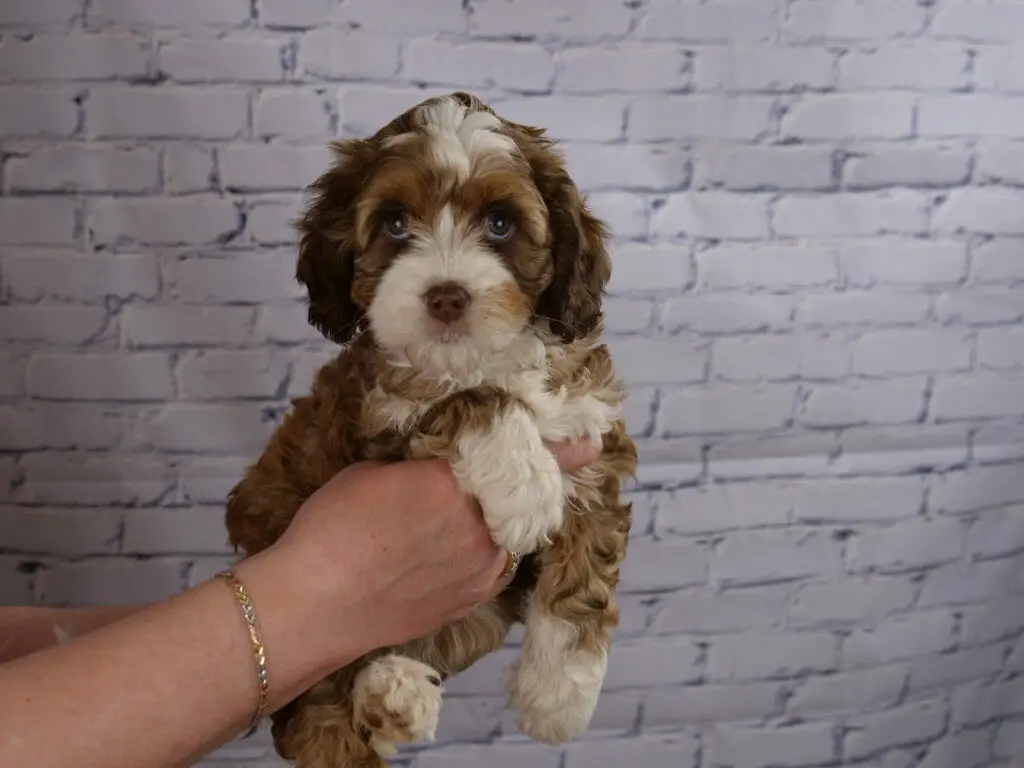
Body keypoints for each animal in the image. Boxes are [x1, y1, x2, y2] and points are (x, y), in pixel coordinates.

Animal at [228, 91, 634, 768]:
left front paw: (558, 700)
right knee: (313, 702)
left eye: (500, 223)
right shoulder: (379, 418)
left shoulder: (594, 442)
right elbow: (473, 400)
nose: (447, 296)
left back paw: (393, 697)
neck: (480, 358)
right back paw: (377, 700)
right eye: (395, 224)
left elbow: (583, 580)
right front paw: (525, 486)